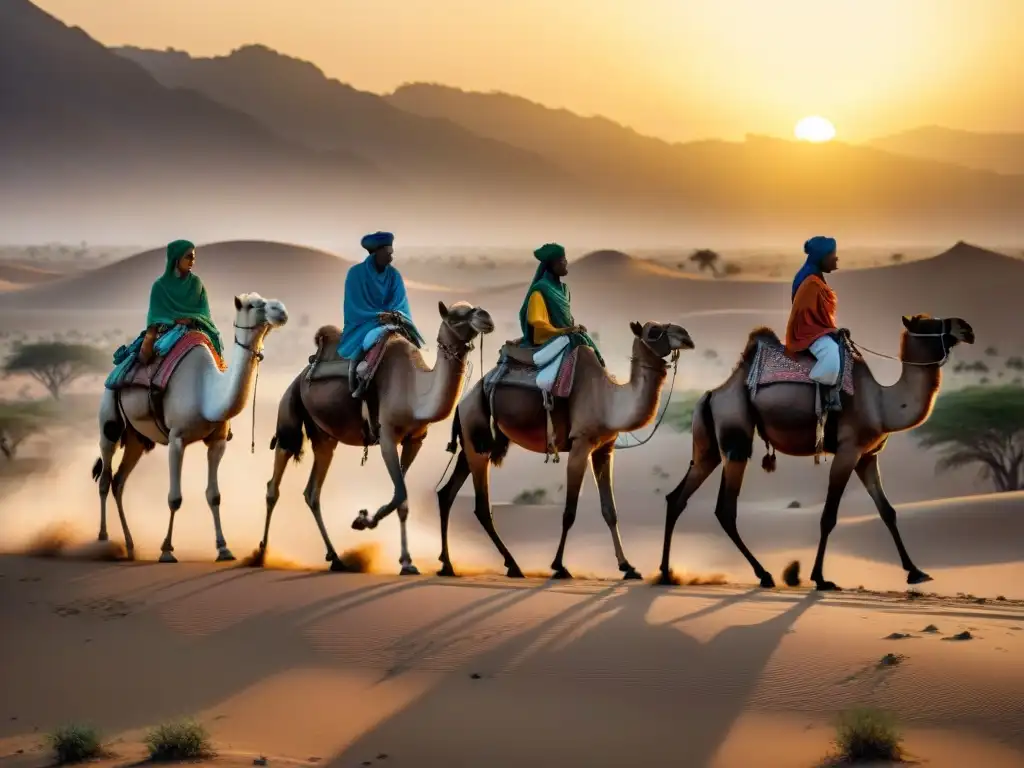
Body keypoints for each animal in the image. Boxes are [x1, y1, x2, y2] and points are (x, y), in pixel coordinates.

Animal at [91, 294, 288, 565]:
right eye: (252, 305)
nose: (281, 311)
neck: (207, 392)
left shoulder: (217, 441)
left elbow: (214, 495)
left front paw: (224, 549)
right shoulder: (177, 439)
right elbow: (175, 497)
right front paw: (166, 550)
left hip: (136, 439)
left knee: (119, 481)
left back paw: (129, 547)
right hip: (108, 420)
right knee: (105, 476)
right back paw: (103, 540)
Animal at [258, 303, 493, 573]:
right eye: (456, 315)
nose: (486, 317)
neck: (415, 391)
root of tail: (302, 374)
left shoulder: (415, 441)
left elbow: (402, 498)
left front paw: (404, 559)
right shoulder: (387, 436)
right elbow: (400, 494)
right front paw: (365, 522)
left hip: (324, 438)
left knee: (312, 492)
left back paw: (336, 558)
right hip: (290, 409)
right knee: (274, 483)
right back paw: (261, 554)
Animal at [436, 321, 692, 581]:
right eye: (653, 331)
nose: (686, 337)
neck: (608, 400)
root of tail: (463, 401)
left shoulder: (604, 450)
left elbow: (610, 510)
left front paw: (628, 567)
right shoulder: (581, 444)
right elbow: (569, 512)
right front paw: (559, 566)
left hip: (472, 443)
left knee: (447, 493)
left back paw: (448, 565)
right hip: (476, 435)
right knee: (481, 507)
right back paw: (512, 565)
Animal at [659, 315, 970, 593]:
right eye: (929, 324)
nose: (966, 328)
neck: (882, 404)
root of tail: (712, 394)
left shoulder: (867, 456)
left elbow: (888, 511)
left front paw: (916, 572)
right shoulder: (848, 451)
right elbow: (828, 516)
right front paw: (821, 579)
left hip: (711, 447)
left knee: (678, 497)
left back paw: (666, 573)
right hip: (735, 433)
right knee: (725, 508)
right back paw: (763, 574)